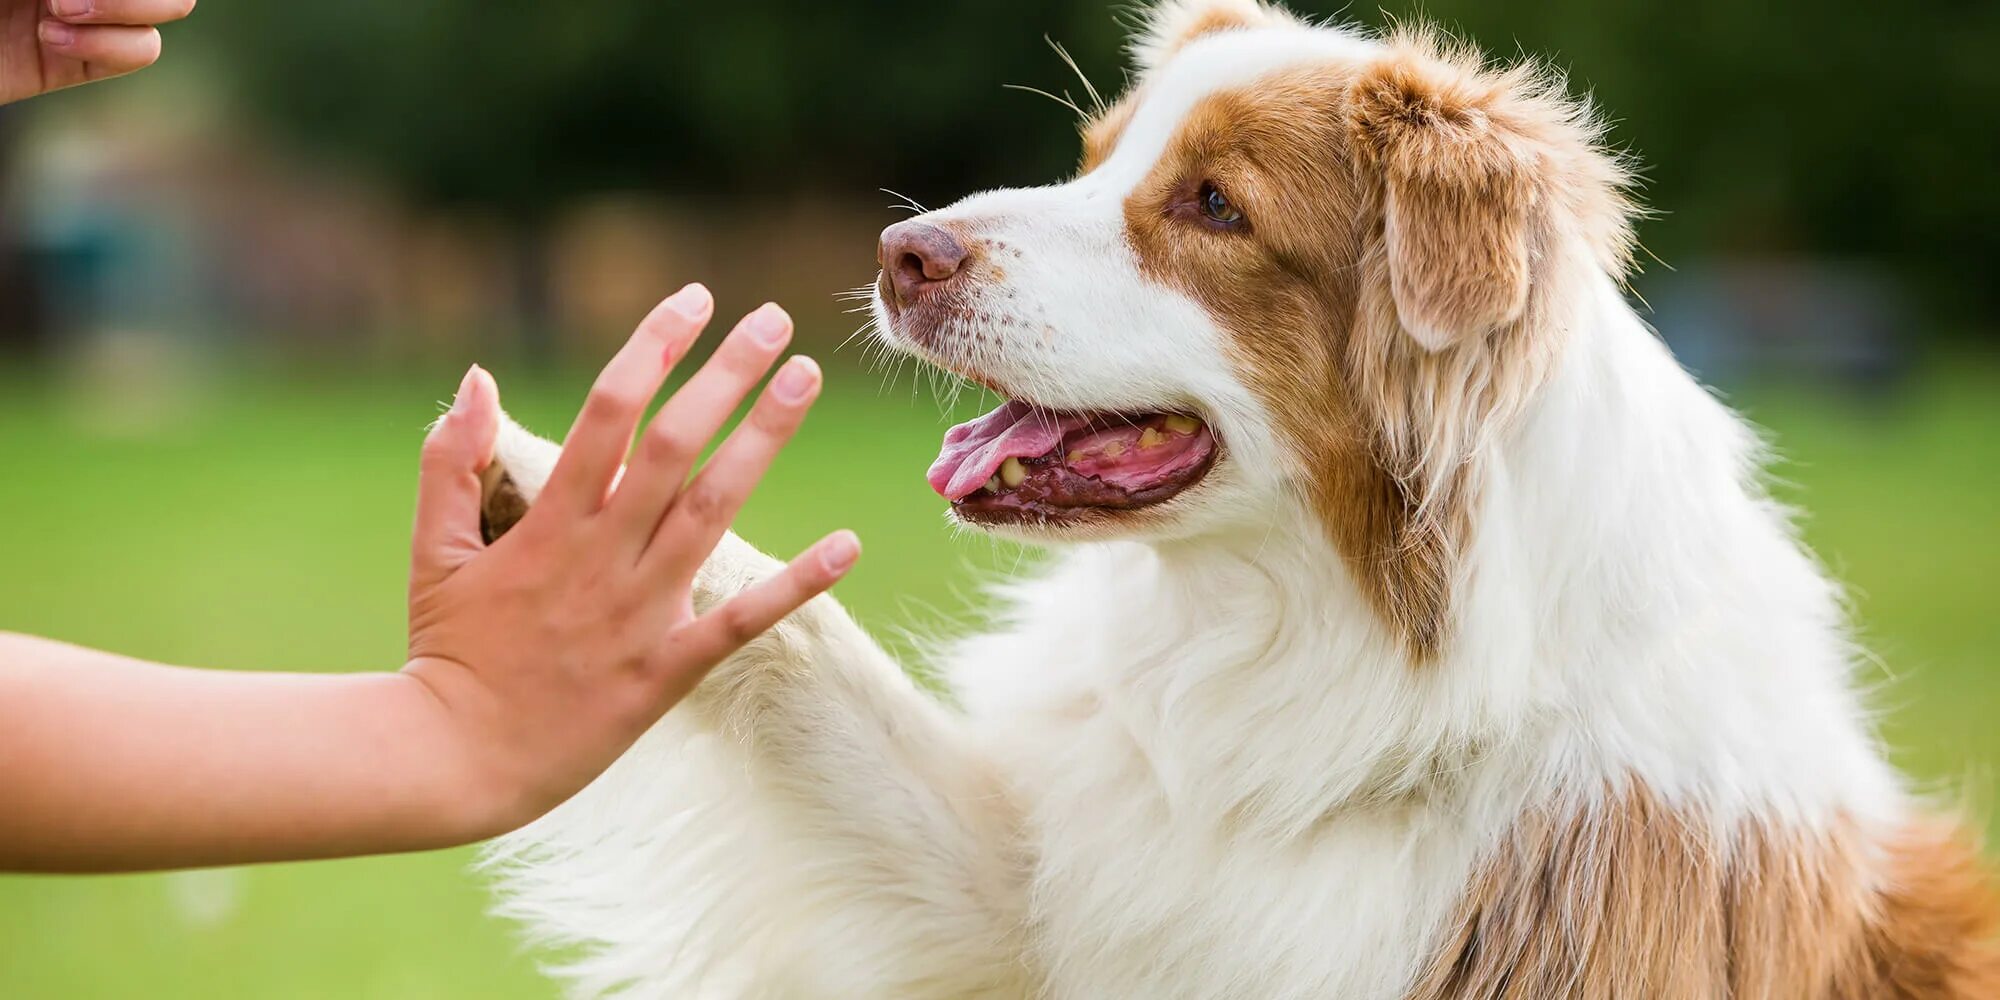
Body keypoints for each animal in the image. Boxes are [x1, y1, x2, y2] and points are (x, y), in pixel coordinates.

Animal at [472, 3, 2000, 996]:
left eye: (1214, 206)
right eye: (1094, 158)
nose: (902, 251)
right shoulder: (1033, 905)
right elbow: (812, 653)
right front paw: (575, 503)